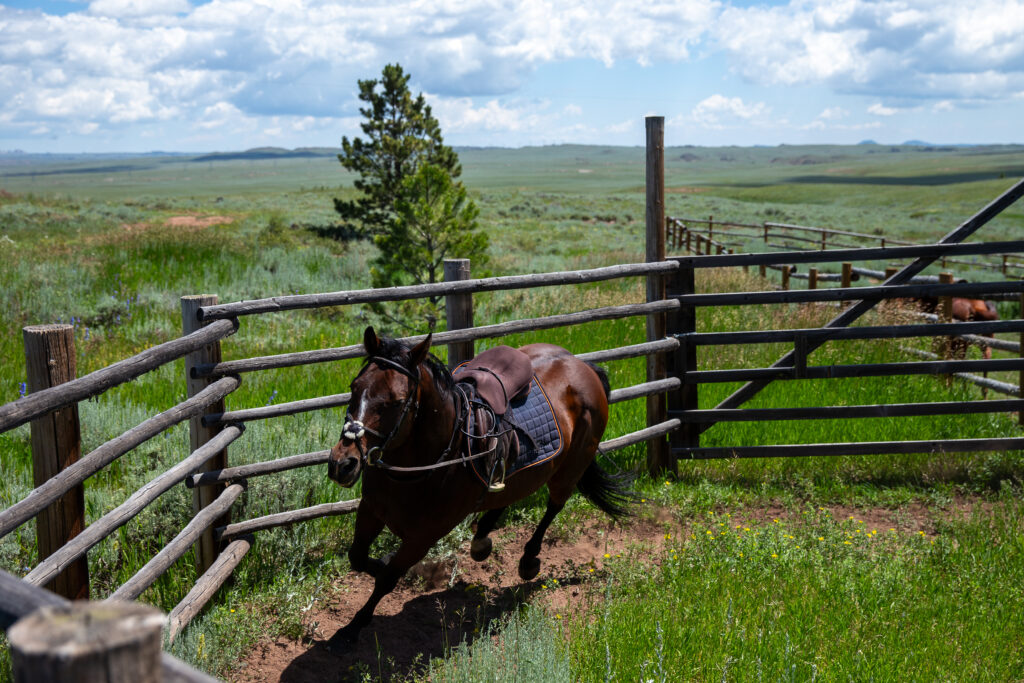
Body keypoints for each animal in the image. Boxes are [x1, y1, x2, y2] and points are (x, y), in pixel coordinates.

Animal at [326, 327, 631, 647]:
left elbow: (387, 579)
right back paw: (482, 540)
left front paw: (351, 630)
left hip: (571, 468)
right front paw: (381, 565)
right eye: (354, 387)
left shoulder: (423, 536)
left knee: (554, 506)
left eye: (396, 401)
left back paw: (528, 559)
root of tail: (584, 366)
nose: (342, 463)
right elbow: (358, 557)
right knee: (508, 494)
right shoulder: (371, 509)